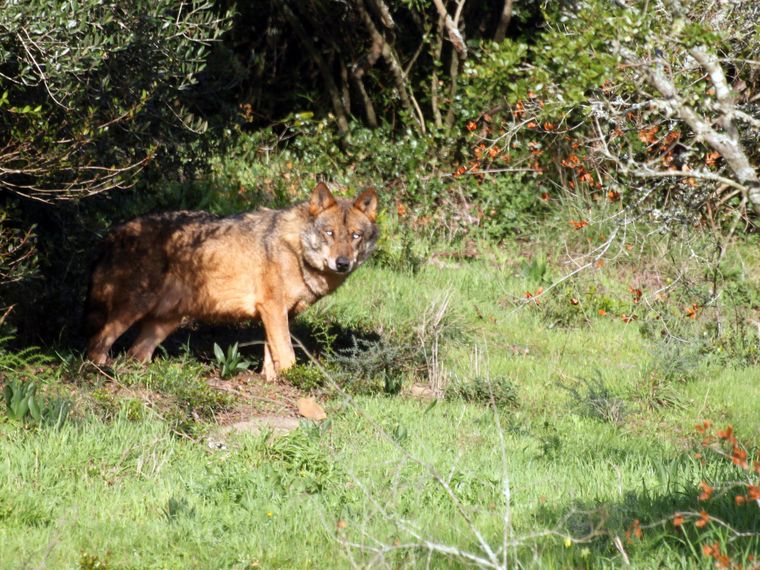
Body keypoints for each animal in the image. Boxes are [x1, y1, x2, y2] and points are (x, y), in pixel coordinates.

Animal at [85, 182, 378, 380]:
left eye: (355, 236)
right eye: (330, 233)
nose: (342, 263)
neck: (296, 250)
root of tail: (113, 233)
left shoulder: (278, 314)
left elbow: (272, 357)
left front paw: (271, 383)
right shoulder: (273, 309)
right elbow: (288, 356)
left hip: (164, 323)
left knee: (135, 355)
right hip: (132, 310)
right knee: (96, 345)